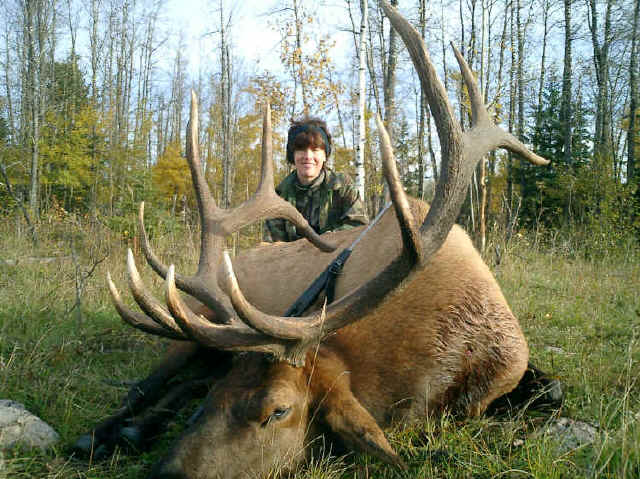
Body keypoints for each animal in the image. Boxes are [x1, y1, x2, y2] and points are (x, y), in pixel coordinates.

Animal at [73, 2, 550, 477]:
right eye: (218, 394)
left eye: (277, 410)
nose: (167, 472)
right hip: (194, 327)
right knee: (143, 387)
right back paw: (101, 434)